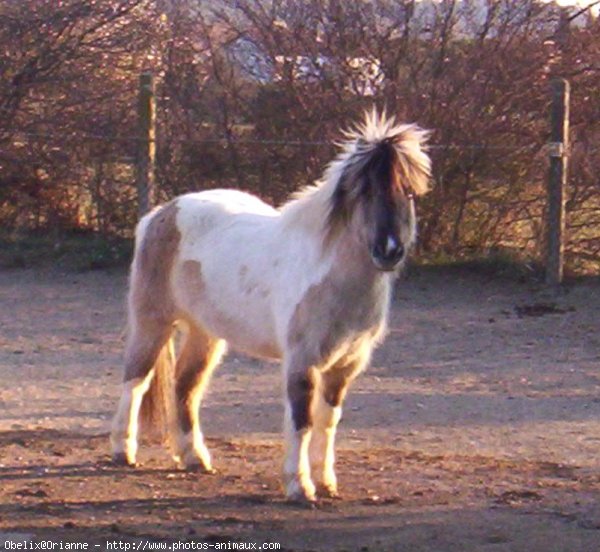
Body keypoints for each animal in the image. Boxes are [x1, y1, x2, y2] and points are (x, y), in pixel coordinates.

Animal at [111, 110, 432, 502]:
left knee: (185, 385)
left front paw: (327, 482)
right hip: (153, 322)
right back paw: (124, 451)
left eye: (409, 192)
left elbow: (328, 421)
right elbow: (302, 420)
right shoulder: (301, 361)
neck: (331, 276)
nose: (389, 250)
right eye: (365, 189)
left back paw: (195, 458)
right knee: (136, 381)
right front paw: (299, 485)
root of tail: (161, 213)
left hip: (206, 333)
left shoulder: (345, 366)